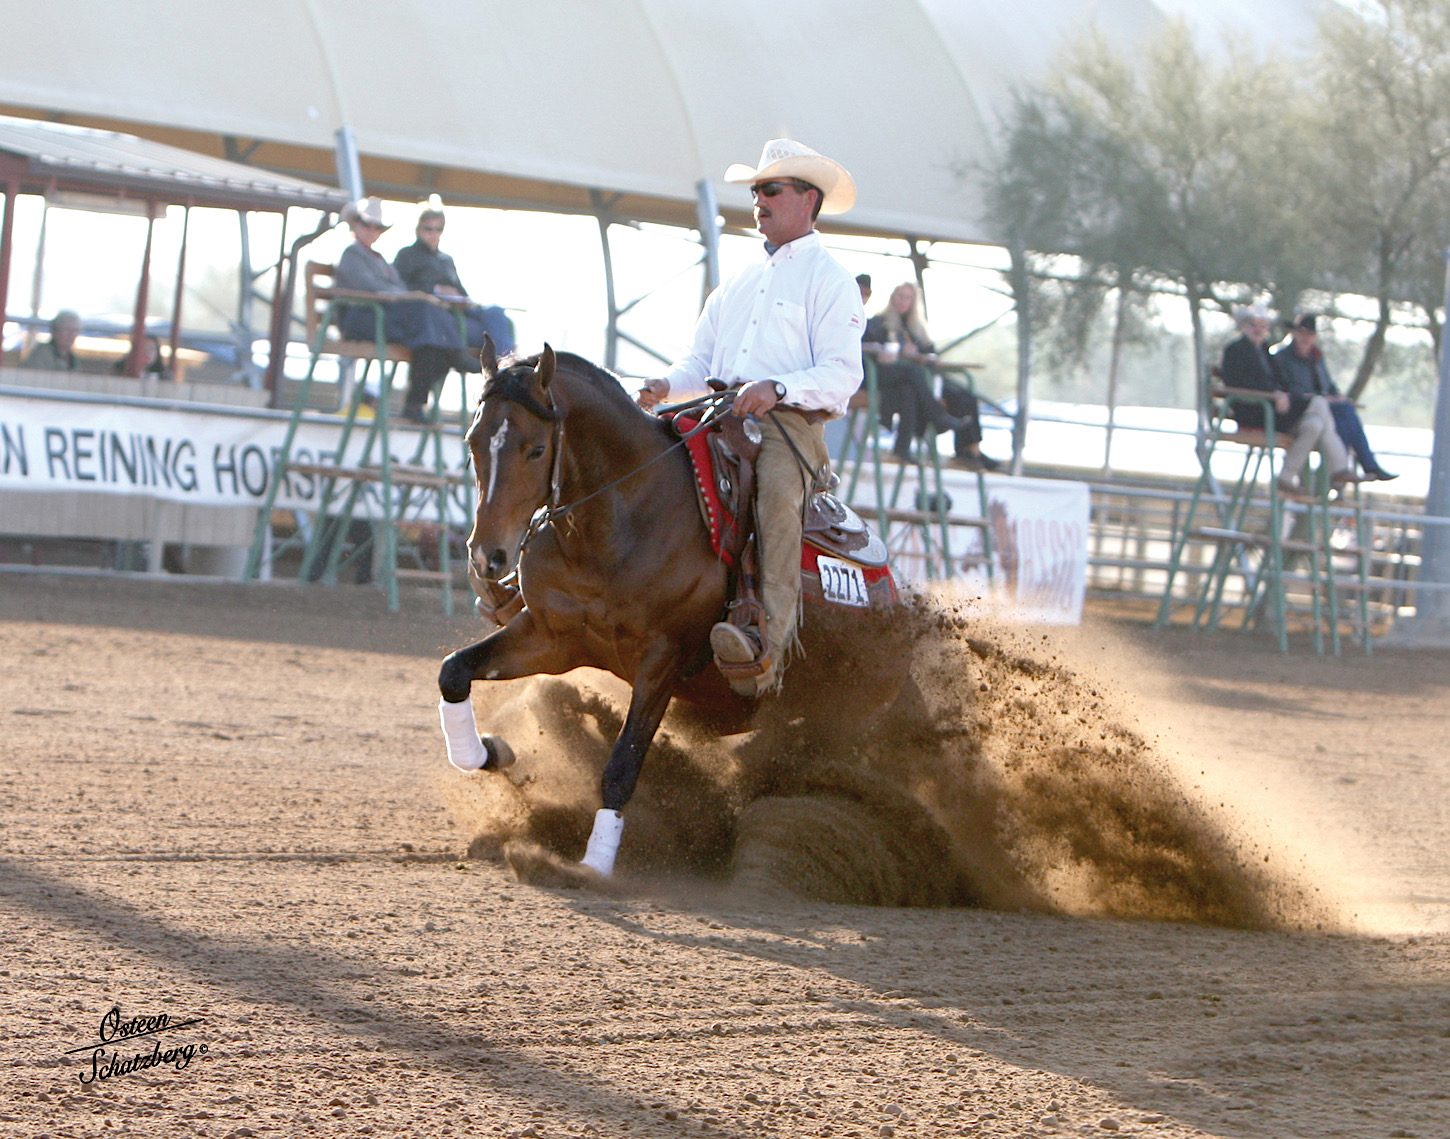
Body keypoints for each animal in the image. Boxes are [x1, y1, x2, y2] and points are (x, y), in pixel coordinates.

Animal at [435, 337, 904, 881]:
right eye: (473, 440)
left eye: (535, 448)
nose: (487, 557)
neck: (620, 522)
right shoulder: (551, 638)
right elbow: (454, 672)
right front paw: (490, 751)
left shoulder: (662, 661)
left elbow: (622, 765)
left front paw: (593, 866)